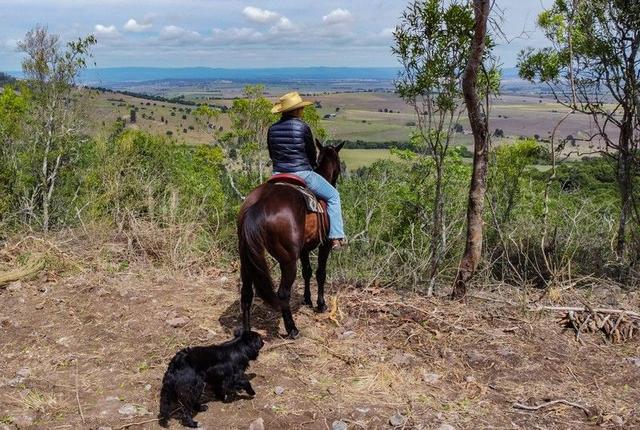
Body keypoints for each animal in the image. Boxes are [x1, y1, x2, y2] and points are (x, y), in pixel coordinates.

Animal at [236, 141, 344, 340]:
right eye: (339, 164)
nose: (335, 182)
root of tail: (258, 205)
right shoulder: (324, 245)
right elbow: (320, 273)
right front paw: (320, 304)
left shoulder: (304, 249)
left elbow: (307, 272)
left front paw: (307, 300)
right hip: (287, 260)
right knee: (282, 293)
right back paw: (292, 328)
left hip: (245, 257)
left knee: (246, 294)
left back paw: (247, 334)